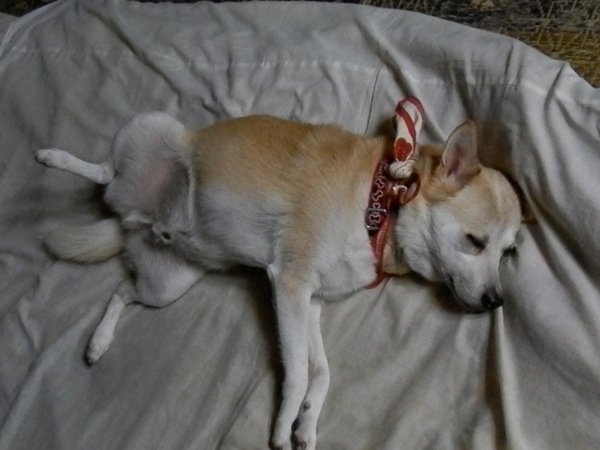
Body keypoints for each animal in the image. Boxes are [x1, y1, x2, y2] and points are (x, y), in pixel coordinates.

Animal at [35, 104, 523, 450]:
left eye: (508, 252)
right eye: (475, 242)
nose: (497, 302)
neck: (381, 207)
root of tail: (132, 217)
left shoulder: (310, 302)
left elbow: (321, 371)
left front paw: (307, 422)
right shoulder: (288, 284)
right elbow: (299, 373)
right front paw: (284, 424)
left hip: (166, 286)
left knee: (121, 289)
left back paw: (98, 342)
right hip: (154, 127)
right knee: (102, 171)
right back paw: (52, 156)